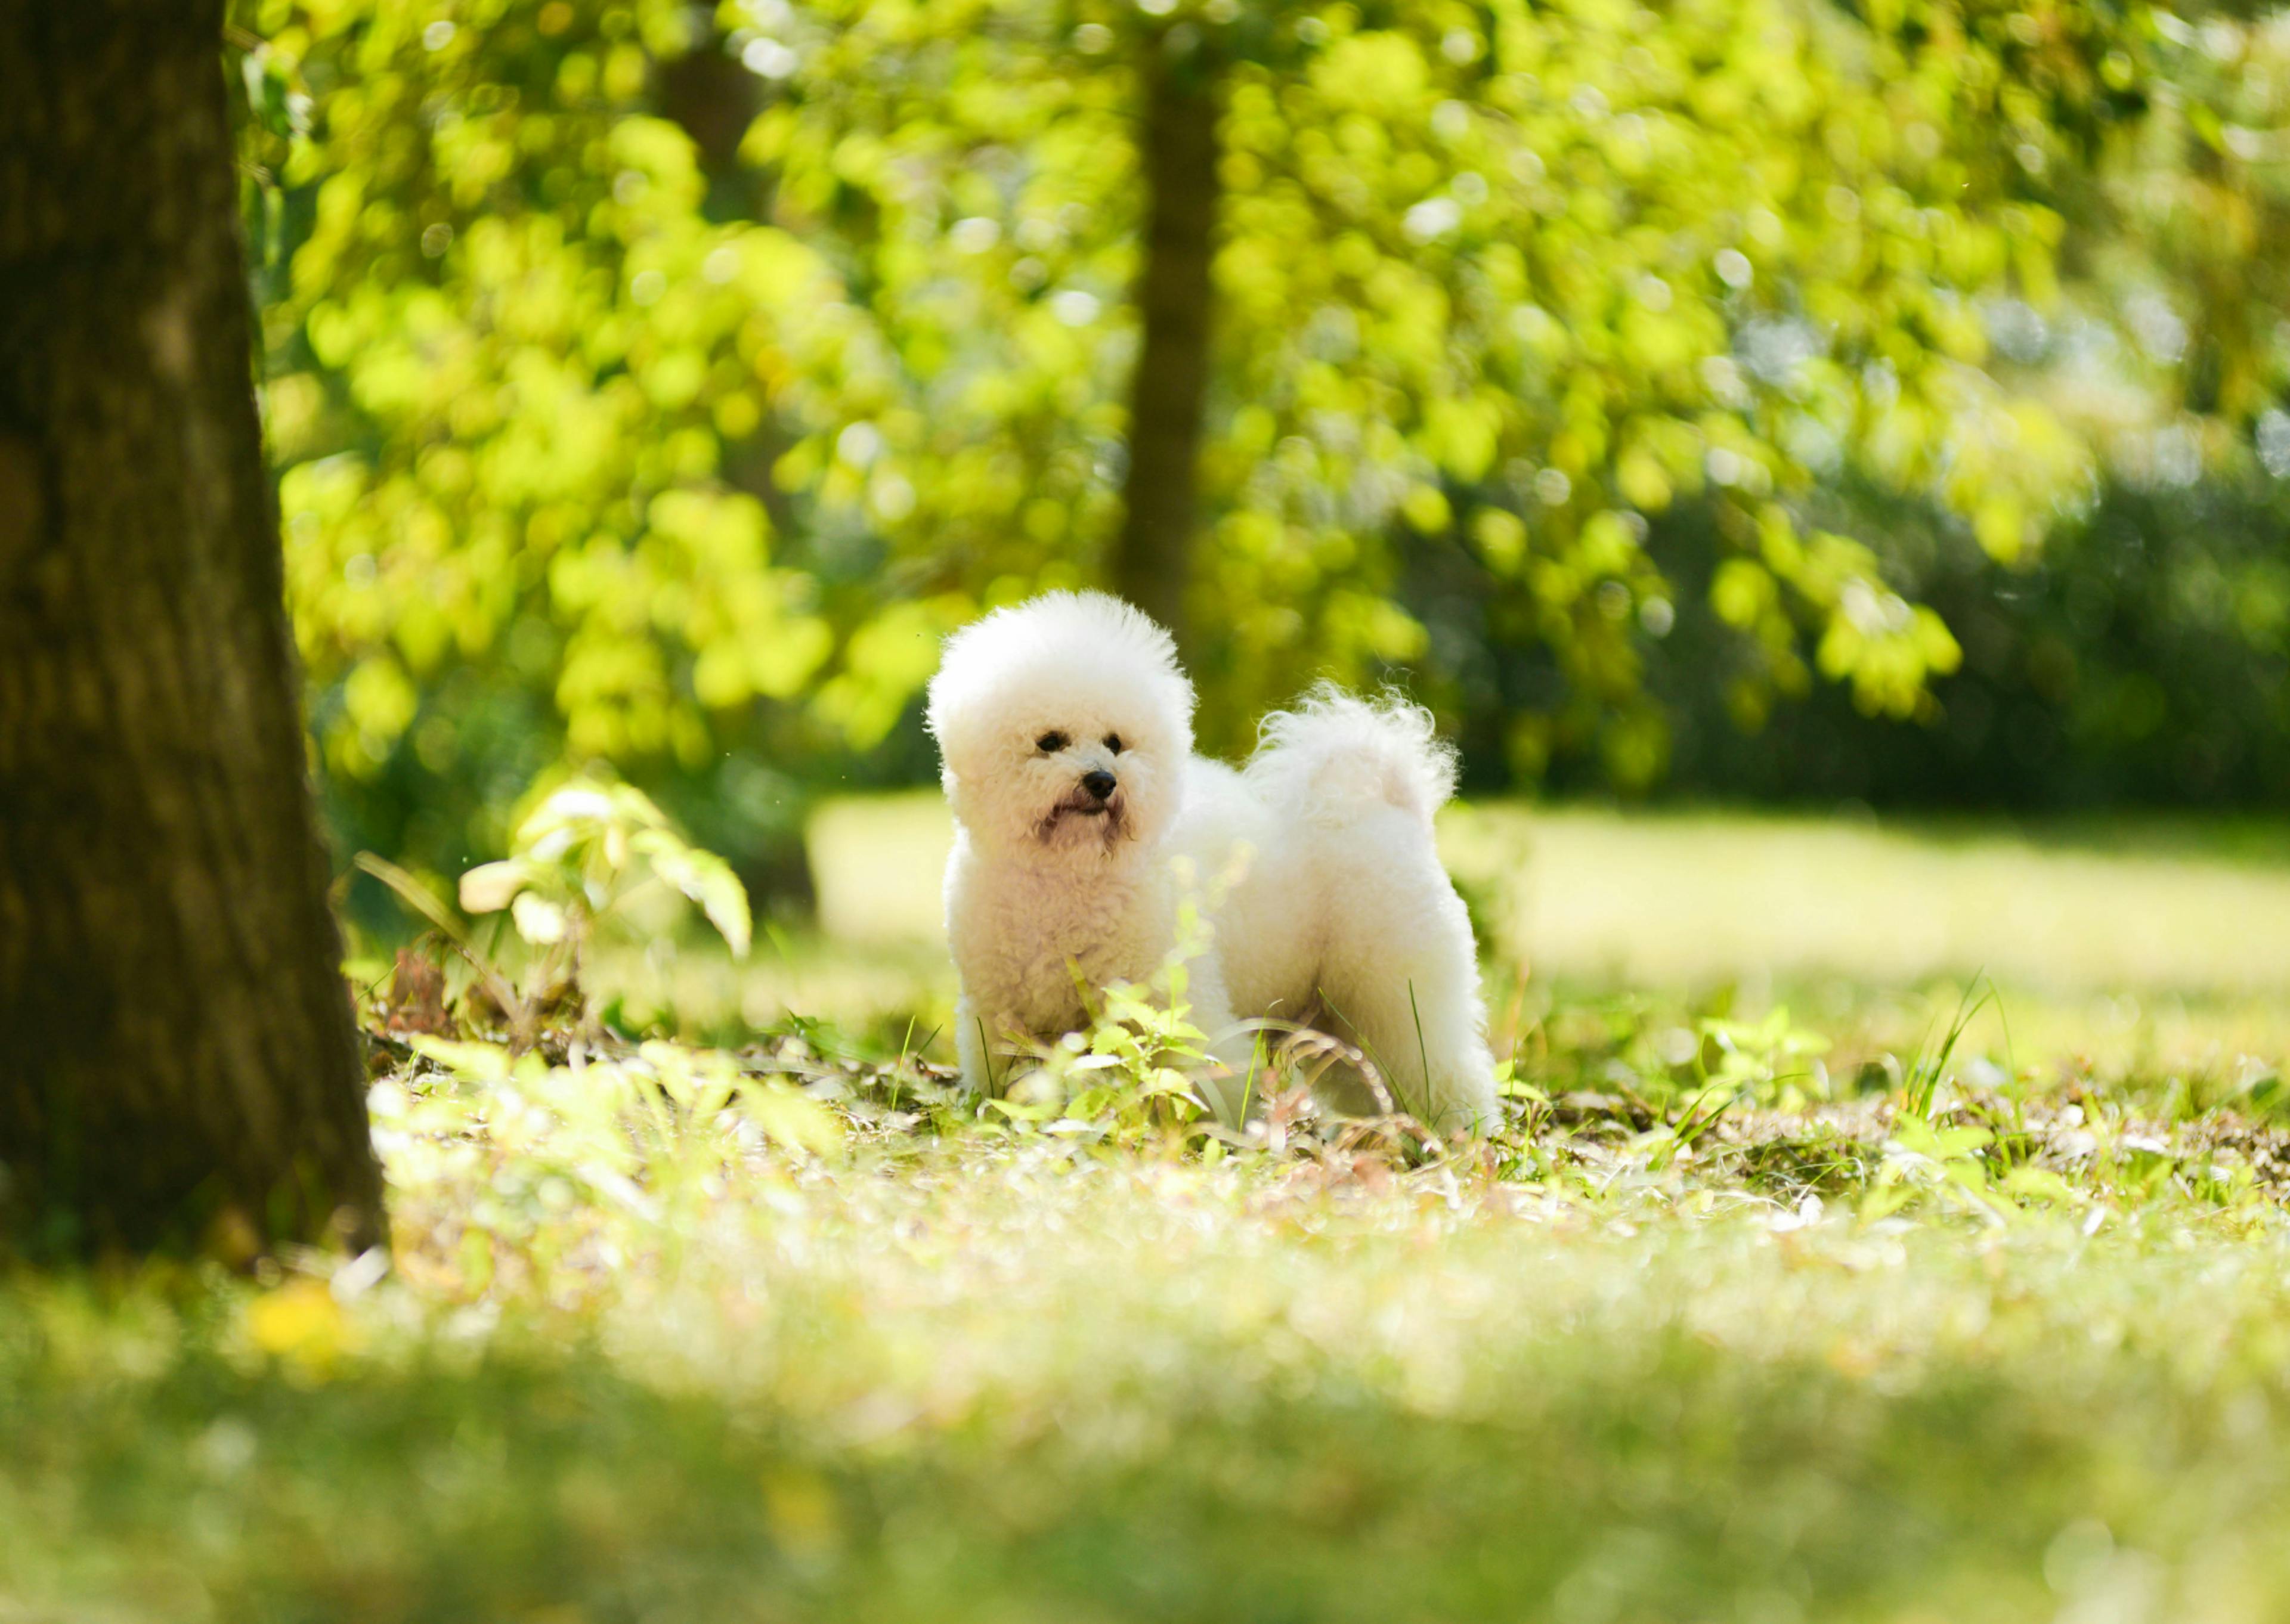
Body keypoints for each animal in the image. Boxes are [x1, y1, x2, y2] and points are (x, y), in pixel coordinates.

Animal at [925, 591, 1502, 1136]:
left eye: (1115, 742)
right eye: (1049, 742)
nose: (1103, 781)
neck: (1066, 879)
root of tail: (1396, 808)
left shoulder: (1174, 999)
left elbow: (1201, 1075)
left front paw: (1218, 1136)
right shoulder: (999, 1015)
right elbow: (1011, 1084)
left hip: (1395, 994)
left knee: (1442, 1067)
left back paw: (1463, 1135)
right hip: (1336, 1017)